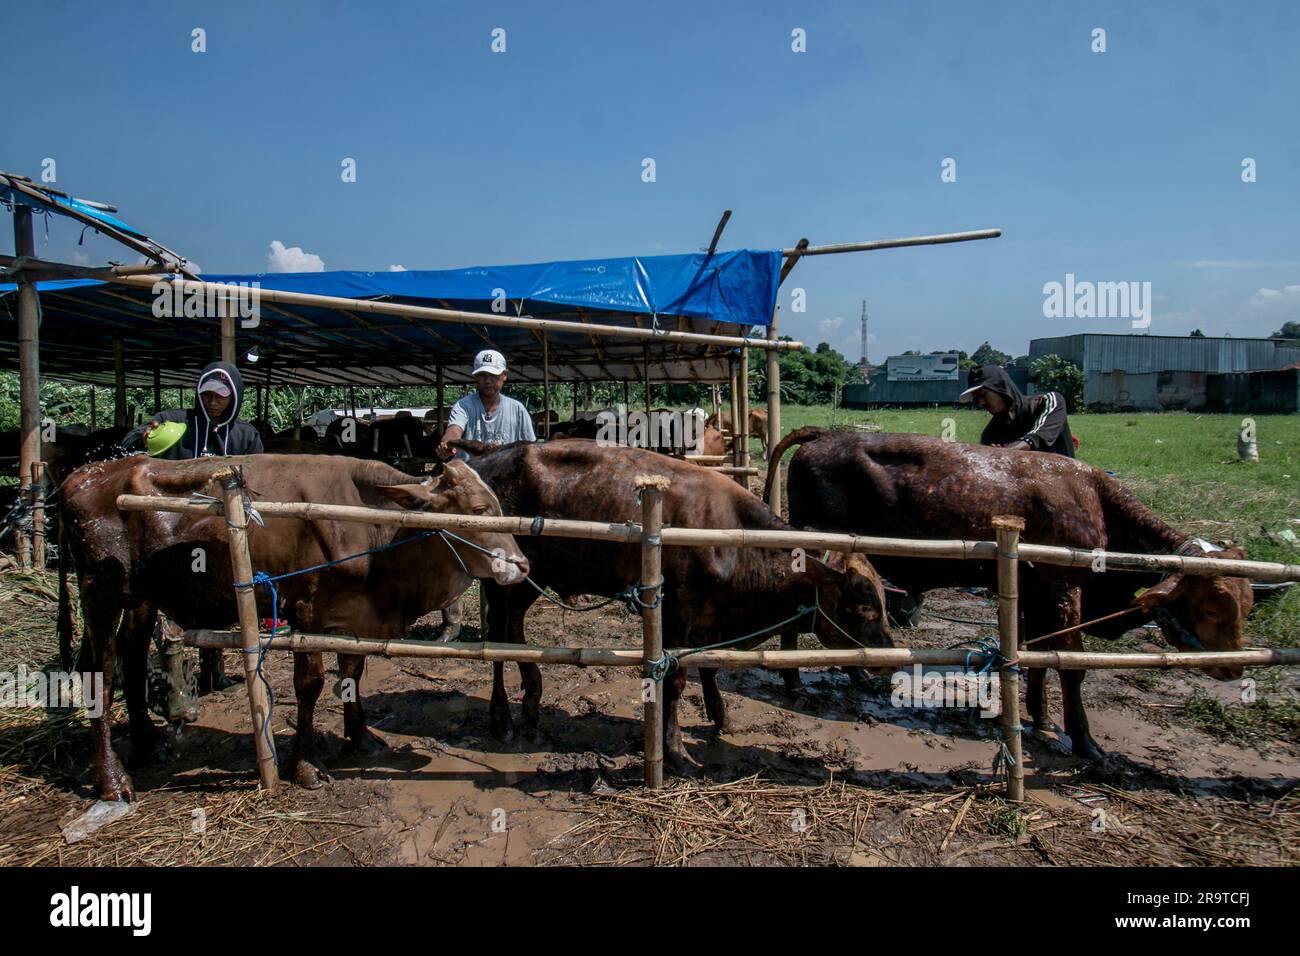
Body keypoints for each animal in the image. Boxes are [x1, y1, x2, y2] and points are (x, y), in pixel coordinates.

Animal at [59, 455, 527, 801]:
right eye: (480, 511)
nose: (523, 565)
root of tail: (81, 474)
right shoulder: (306, 613)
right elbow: (311, 685)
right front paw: (306, 765)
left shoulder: (356, 616)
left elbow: (353, 674)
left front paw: (361, 737)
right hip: (100, 589)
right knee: (101, 673)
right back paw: (112, 780)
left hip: (141, 596)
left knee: (133, 658)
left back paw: (148, 745)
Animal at [457, 442, 894, 770]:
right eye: (864, 606)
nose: (890, 659)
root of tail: (483, 459)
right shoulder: (677, 615)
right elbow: (677, 680)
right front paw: (675, 750)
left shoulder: (708, 618)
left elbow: (711, 667)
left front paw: (720, 716)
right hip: (501, 580)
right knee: (496, 638)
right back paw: (502, 717)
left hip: (530, 580)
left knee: (514, 630)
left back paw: (532, 698)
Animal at [764, 429, 1253, 759]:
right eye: (1212, 607)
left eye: (1248, 605)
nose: (1235, 668)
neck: (1095, 500)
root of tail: (827, 434)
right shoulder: (1064, 590)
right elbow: (1072, 666)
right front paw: (1085, 741)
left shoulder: (1036, 596)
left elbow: (1036, 659)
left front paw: (1040, 718)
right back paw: (801, 680)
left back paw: (854, 674)